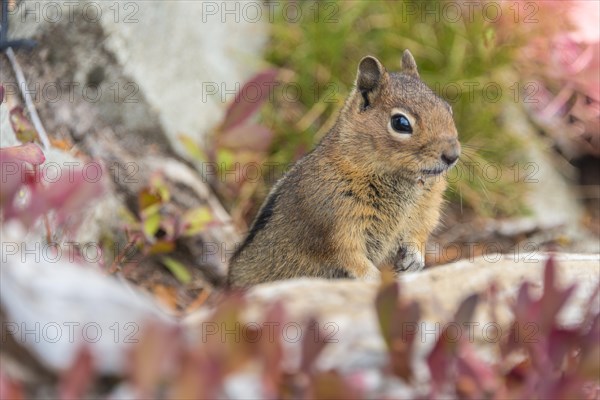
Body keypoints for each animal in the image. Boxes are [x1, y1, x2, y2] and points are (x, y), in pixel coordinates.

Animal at [227, 50, 462, 288]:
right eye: (401, 123)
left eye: (448, 108)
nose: (452, 156)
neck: (401, 179)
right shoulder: (337, 225)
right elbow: (350, 256)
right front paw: (375, 278)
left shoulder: (427, 208)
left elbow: (420, 231)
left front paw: (415, 258)